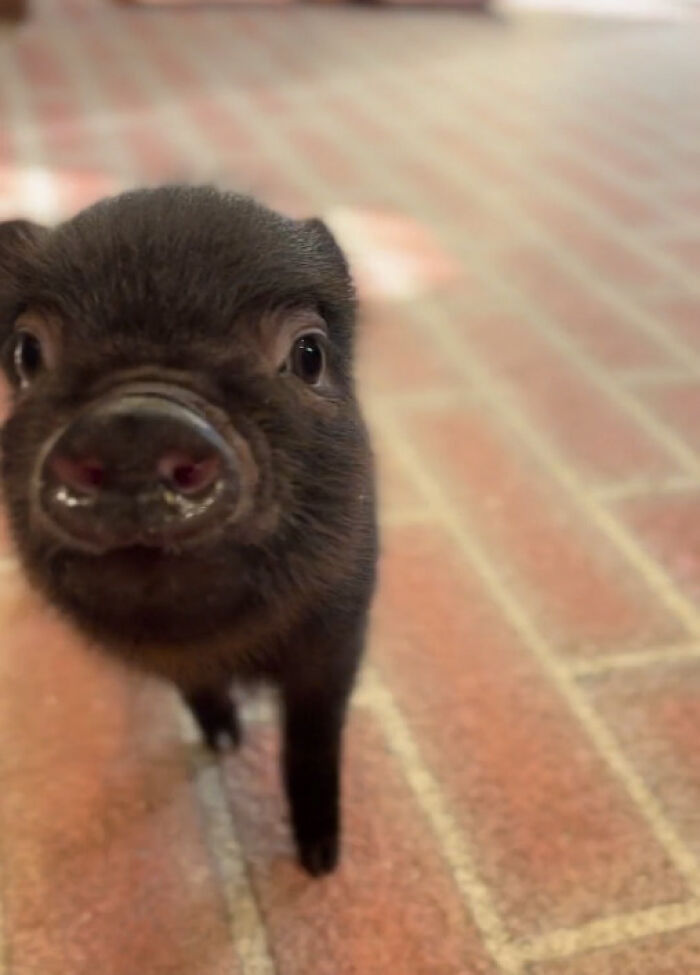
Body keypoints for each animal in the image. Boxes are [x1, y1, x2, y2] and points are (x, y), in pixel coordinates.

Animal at [0, 185, 378, 876]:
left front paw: (320, 863)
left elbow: (312, 739)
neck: (220, 644)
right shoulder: (175, 664)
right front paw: (225, 741)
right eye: (28, 353)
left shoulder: (340, 629)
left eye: (308, 354)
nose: (135, 422)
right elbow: (197, 692)